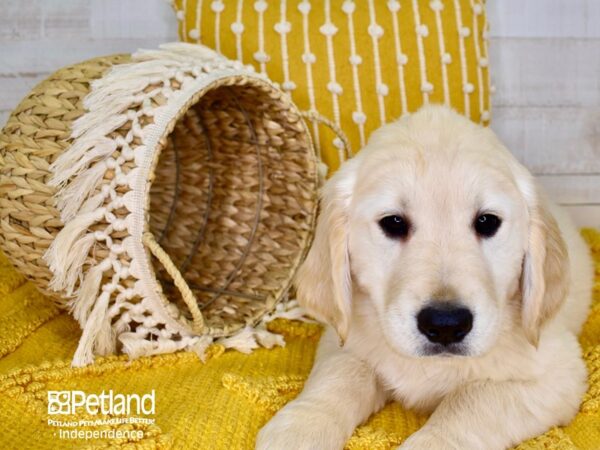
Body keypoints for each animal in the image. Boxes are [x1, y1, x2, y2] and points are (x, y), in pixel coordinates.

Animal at [255, 106, 592, 450]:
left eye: (487, 222)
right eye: (393, 223)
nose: (446, 325)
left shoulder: (557, 374)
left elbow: (470, 399)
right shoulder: (342, 337)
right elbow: (341, 373)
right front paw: (301, 426)